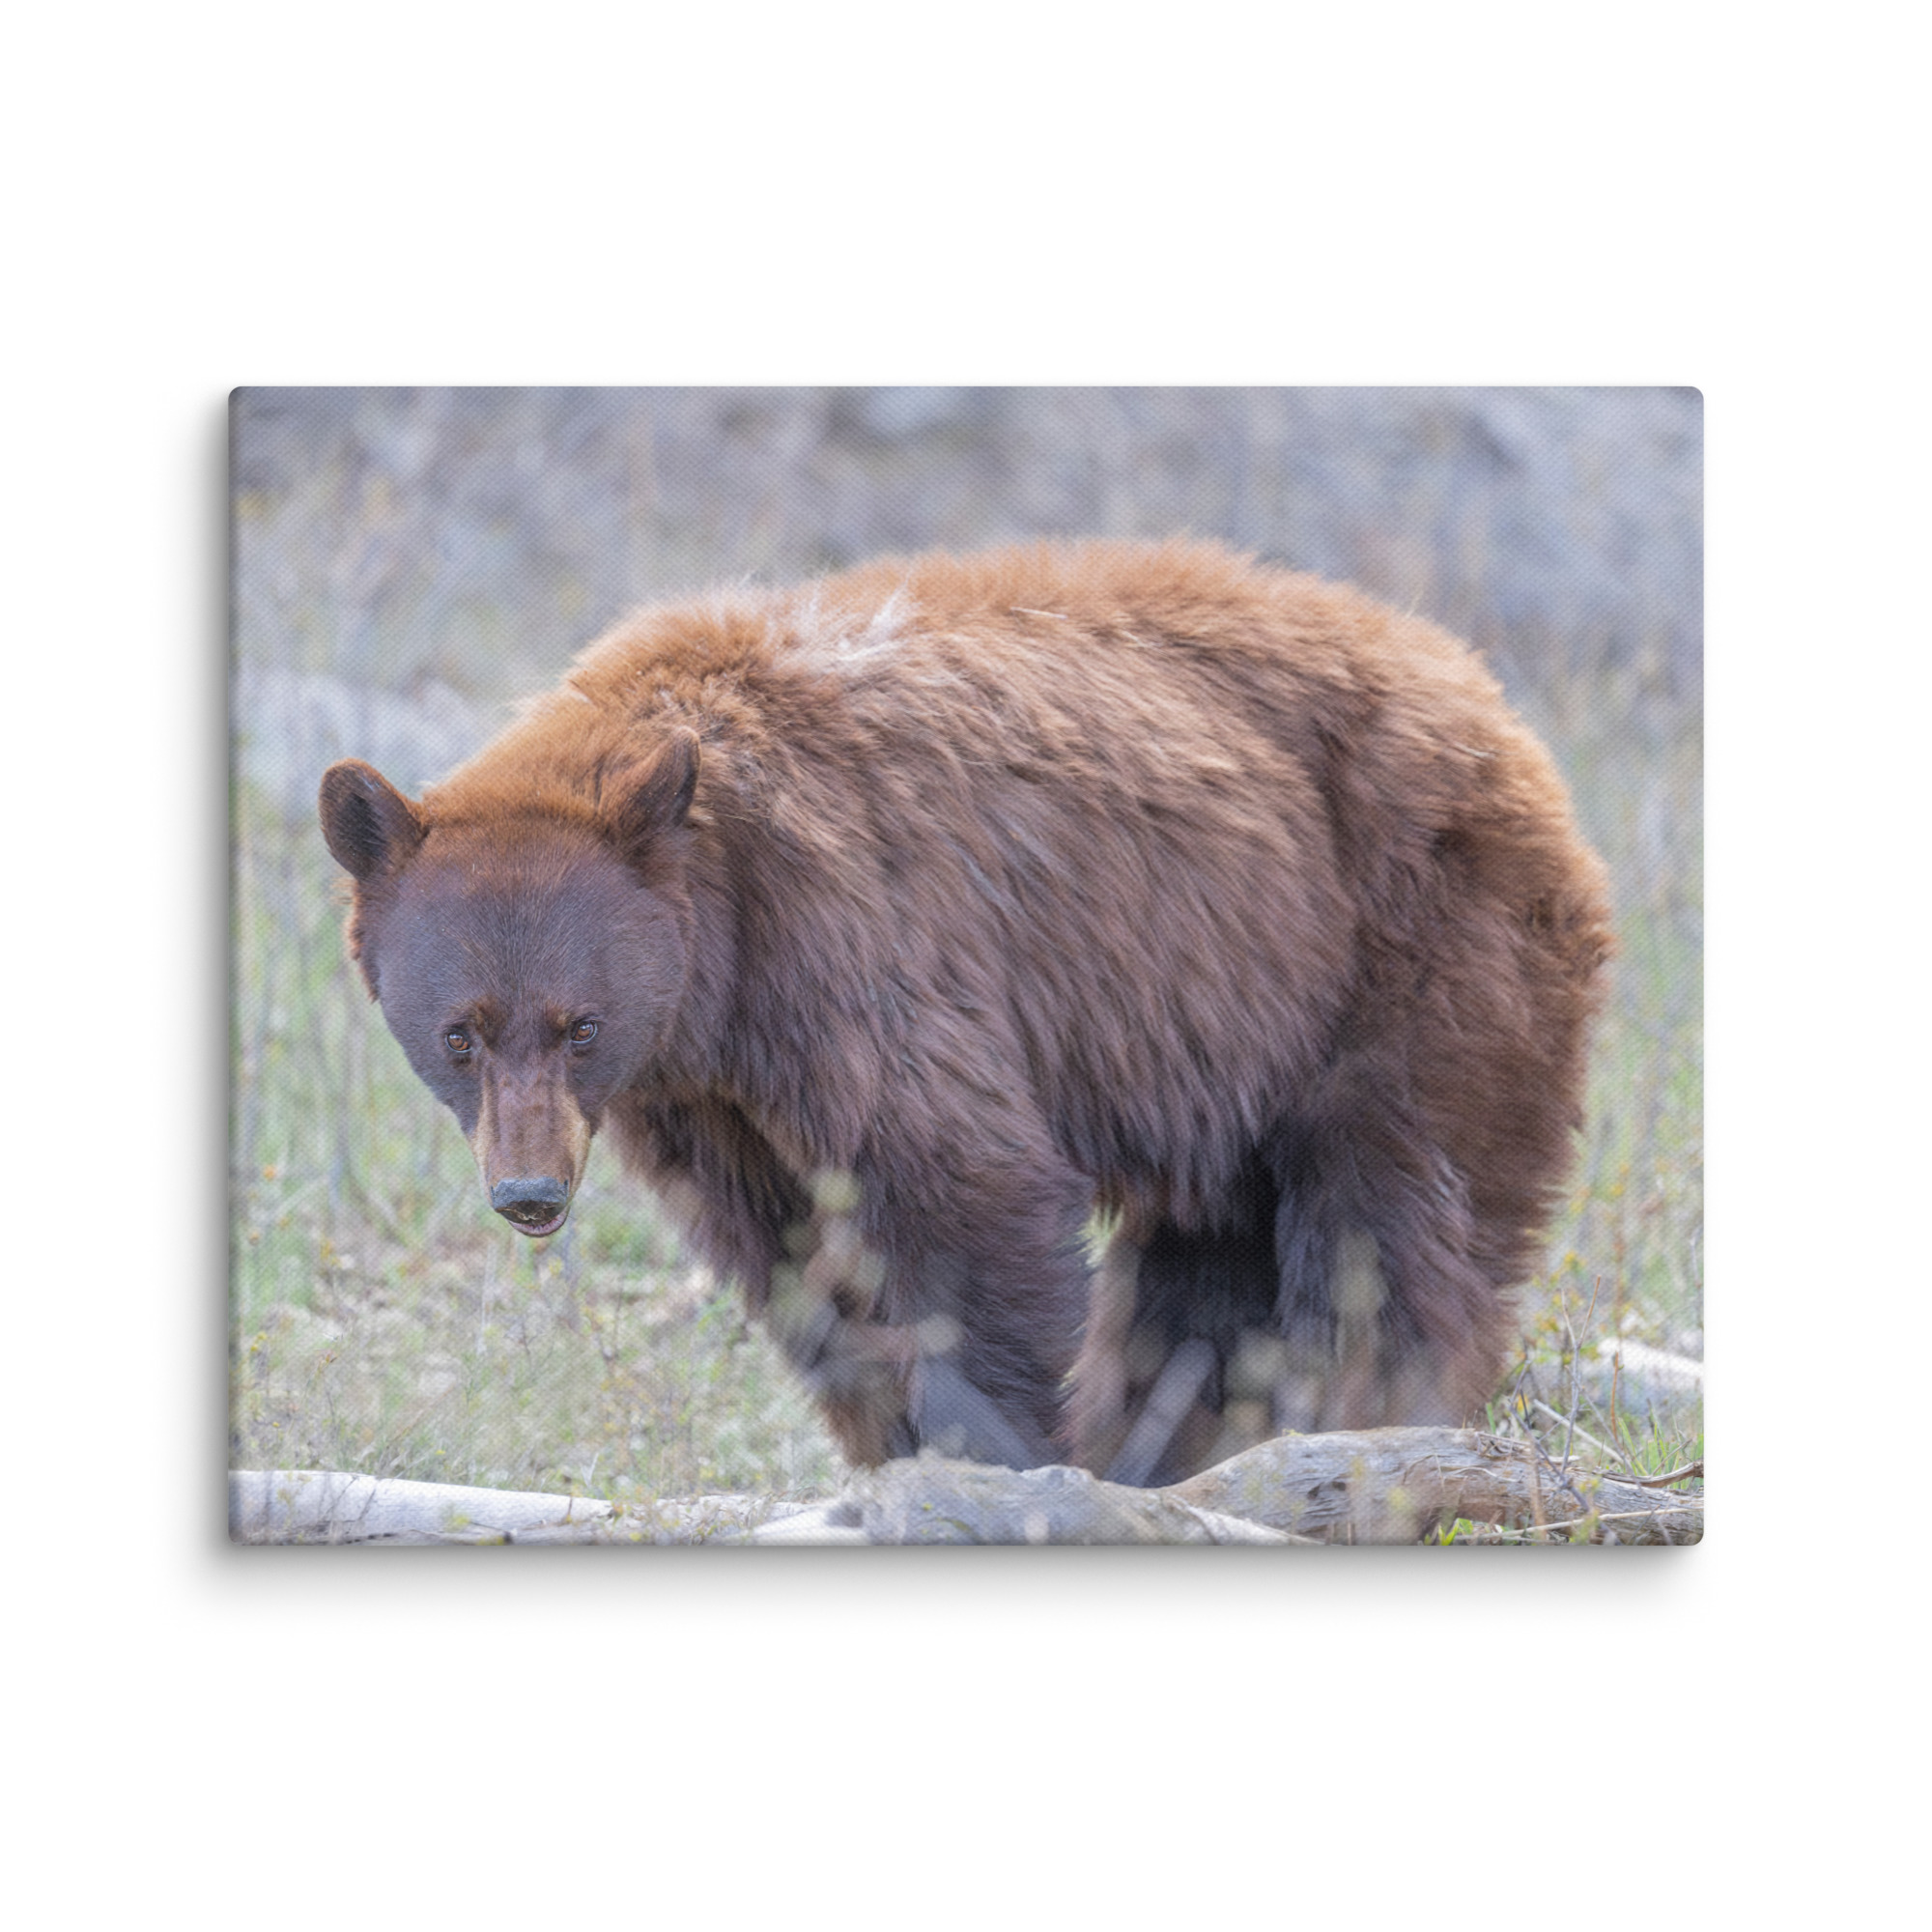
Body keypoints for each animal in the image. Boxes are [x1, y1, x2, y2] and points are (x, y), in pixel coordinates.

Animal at [319, 539, 1612, 1484]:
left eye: (578, 1024)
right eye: (459, 1033)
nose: (528, 1193)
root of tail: (1488, 697)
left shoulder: (856, 942)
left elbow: (959, 1189)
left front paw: (994, 1452)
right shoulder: (709, 1095)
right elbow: (795, 1254)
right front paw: (893, 1443)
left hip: (1406, 947)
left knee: (1389, 1216)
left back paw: (1359, 1419)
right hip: (1235, 1033)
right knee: (1207, 1260)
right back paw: (1181, 1439)